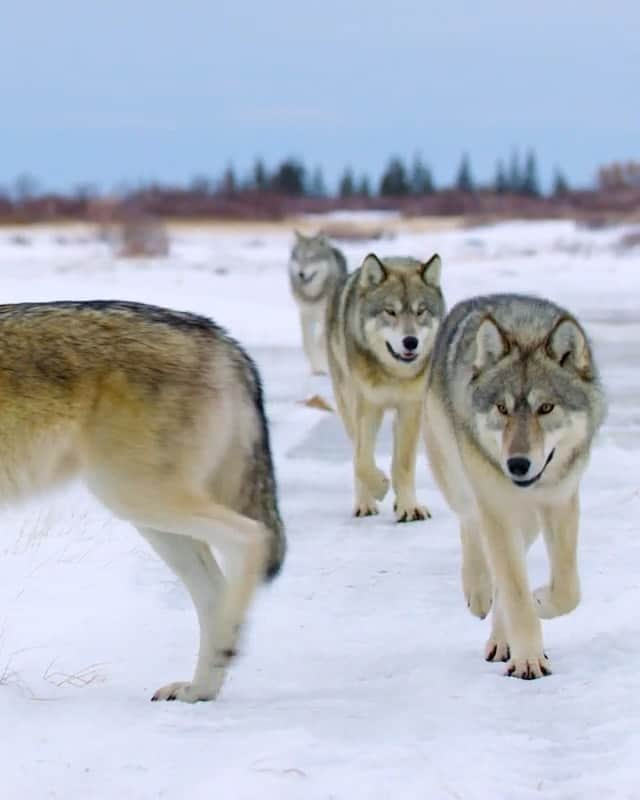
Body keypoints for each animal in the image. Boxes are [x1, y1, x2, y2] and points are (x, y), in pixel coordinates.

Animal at [0, 300, 286, 700]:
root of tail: (219, 337)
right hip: (151, 519)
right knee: (215, 590)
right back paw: (199, 689)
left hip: (136, 498)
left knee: (251, 536)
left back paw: (224, 649)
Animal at [288, 228, 348, 372]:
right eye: (298, 258)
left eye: (311, 258)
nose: (301, 274)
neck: (313, 296)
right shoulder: (305, 314)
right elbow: (307, 343)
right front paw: (316, 367)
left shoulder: (325, 316)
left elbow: (319, 342)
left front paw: (321, 364)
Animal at [328, 253, 442, 520]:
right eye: (390, 311)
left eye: (421, 311)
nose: (410, 341)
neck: (393, 374)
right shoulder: (367, 407)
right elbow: (361, 461)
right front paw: (379, 487)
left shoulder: (411, 408)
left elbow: (403, 464)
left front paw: (409, 507)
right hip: (347, 405)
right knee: (358, 454)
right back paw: (365, 503)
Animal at [424, 294, 604, 680]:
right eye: (502, 409)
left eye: (545, 408)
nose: (517, 465)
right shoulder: (497, 508)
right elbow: (515, 592)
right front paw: (529, 660)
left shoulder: (560, 502)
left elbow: (567, 590)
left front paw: (541, 601)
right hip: (457, 478)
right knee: (470, 525)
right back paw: (478, 593)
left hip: (530, 521)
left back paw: (500, 637)